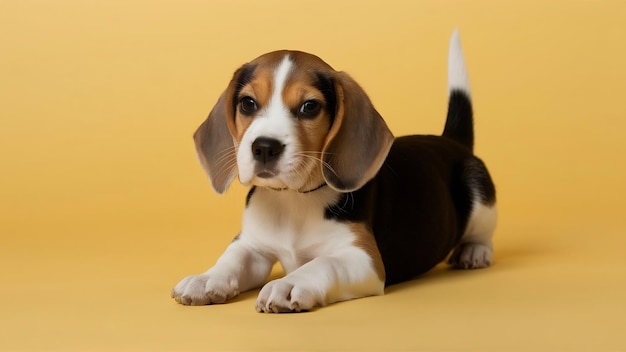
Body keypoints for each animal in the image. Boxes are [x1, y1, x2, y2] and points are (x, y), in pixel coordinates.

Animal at [172, 29, 498, 310]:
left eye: (309, 107)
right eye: (248, 103)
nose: (264, 147)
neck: (292, 199)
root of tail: (451, 141)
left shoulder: (363, 258)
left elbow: (324, 263)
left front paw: (288, 284)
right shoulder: (252, 245)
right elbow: (232, 259)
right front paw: (206, 279)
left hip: (479, 191)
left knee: (482, 230)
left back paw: (474, 251)